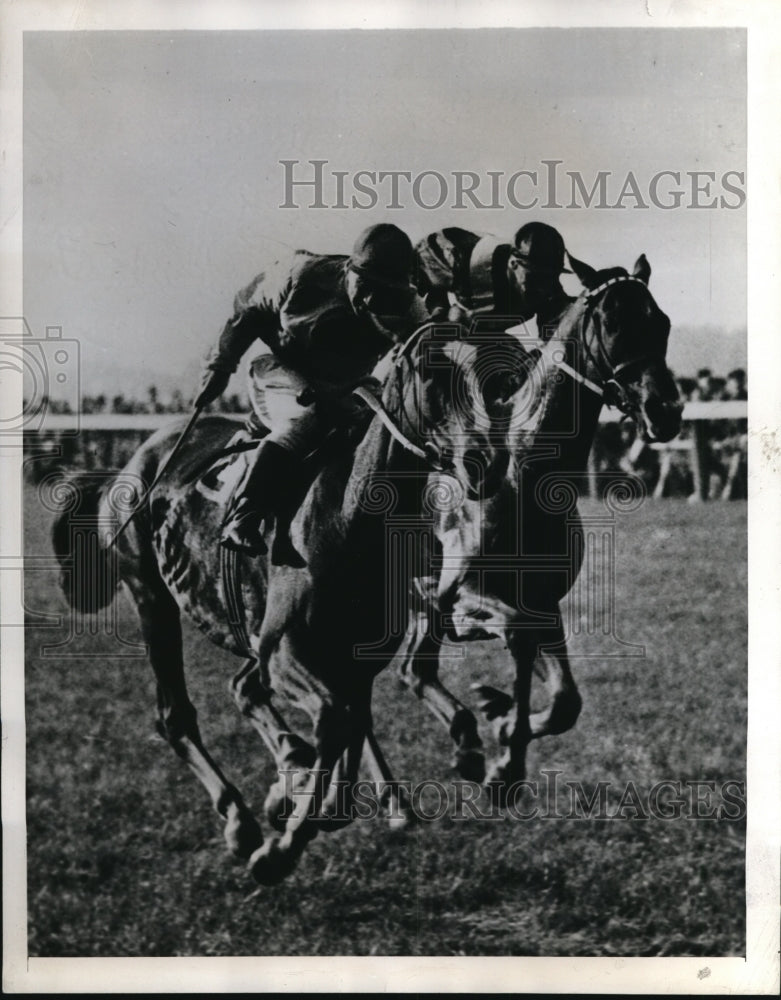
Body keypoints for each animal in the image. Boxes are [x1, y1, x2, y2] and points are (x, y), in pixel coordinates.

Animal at [394, 252, 680, 796]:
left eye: (663, 322)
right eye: (611, 322)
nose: (665, 411)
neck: (522, 473)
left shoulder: (543, 603)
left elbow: (566, 700)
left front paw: (506, 729)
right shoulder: (462, 592)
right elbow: (513, 634)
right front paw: (506, 741)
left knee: (413, 669)